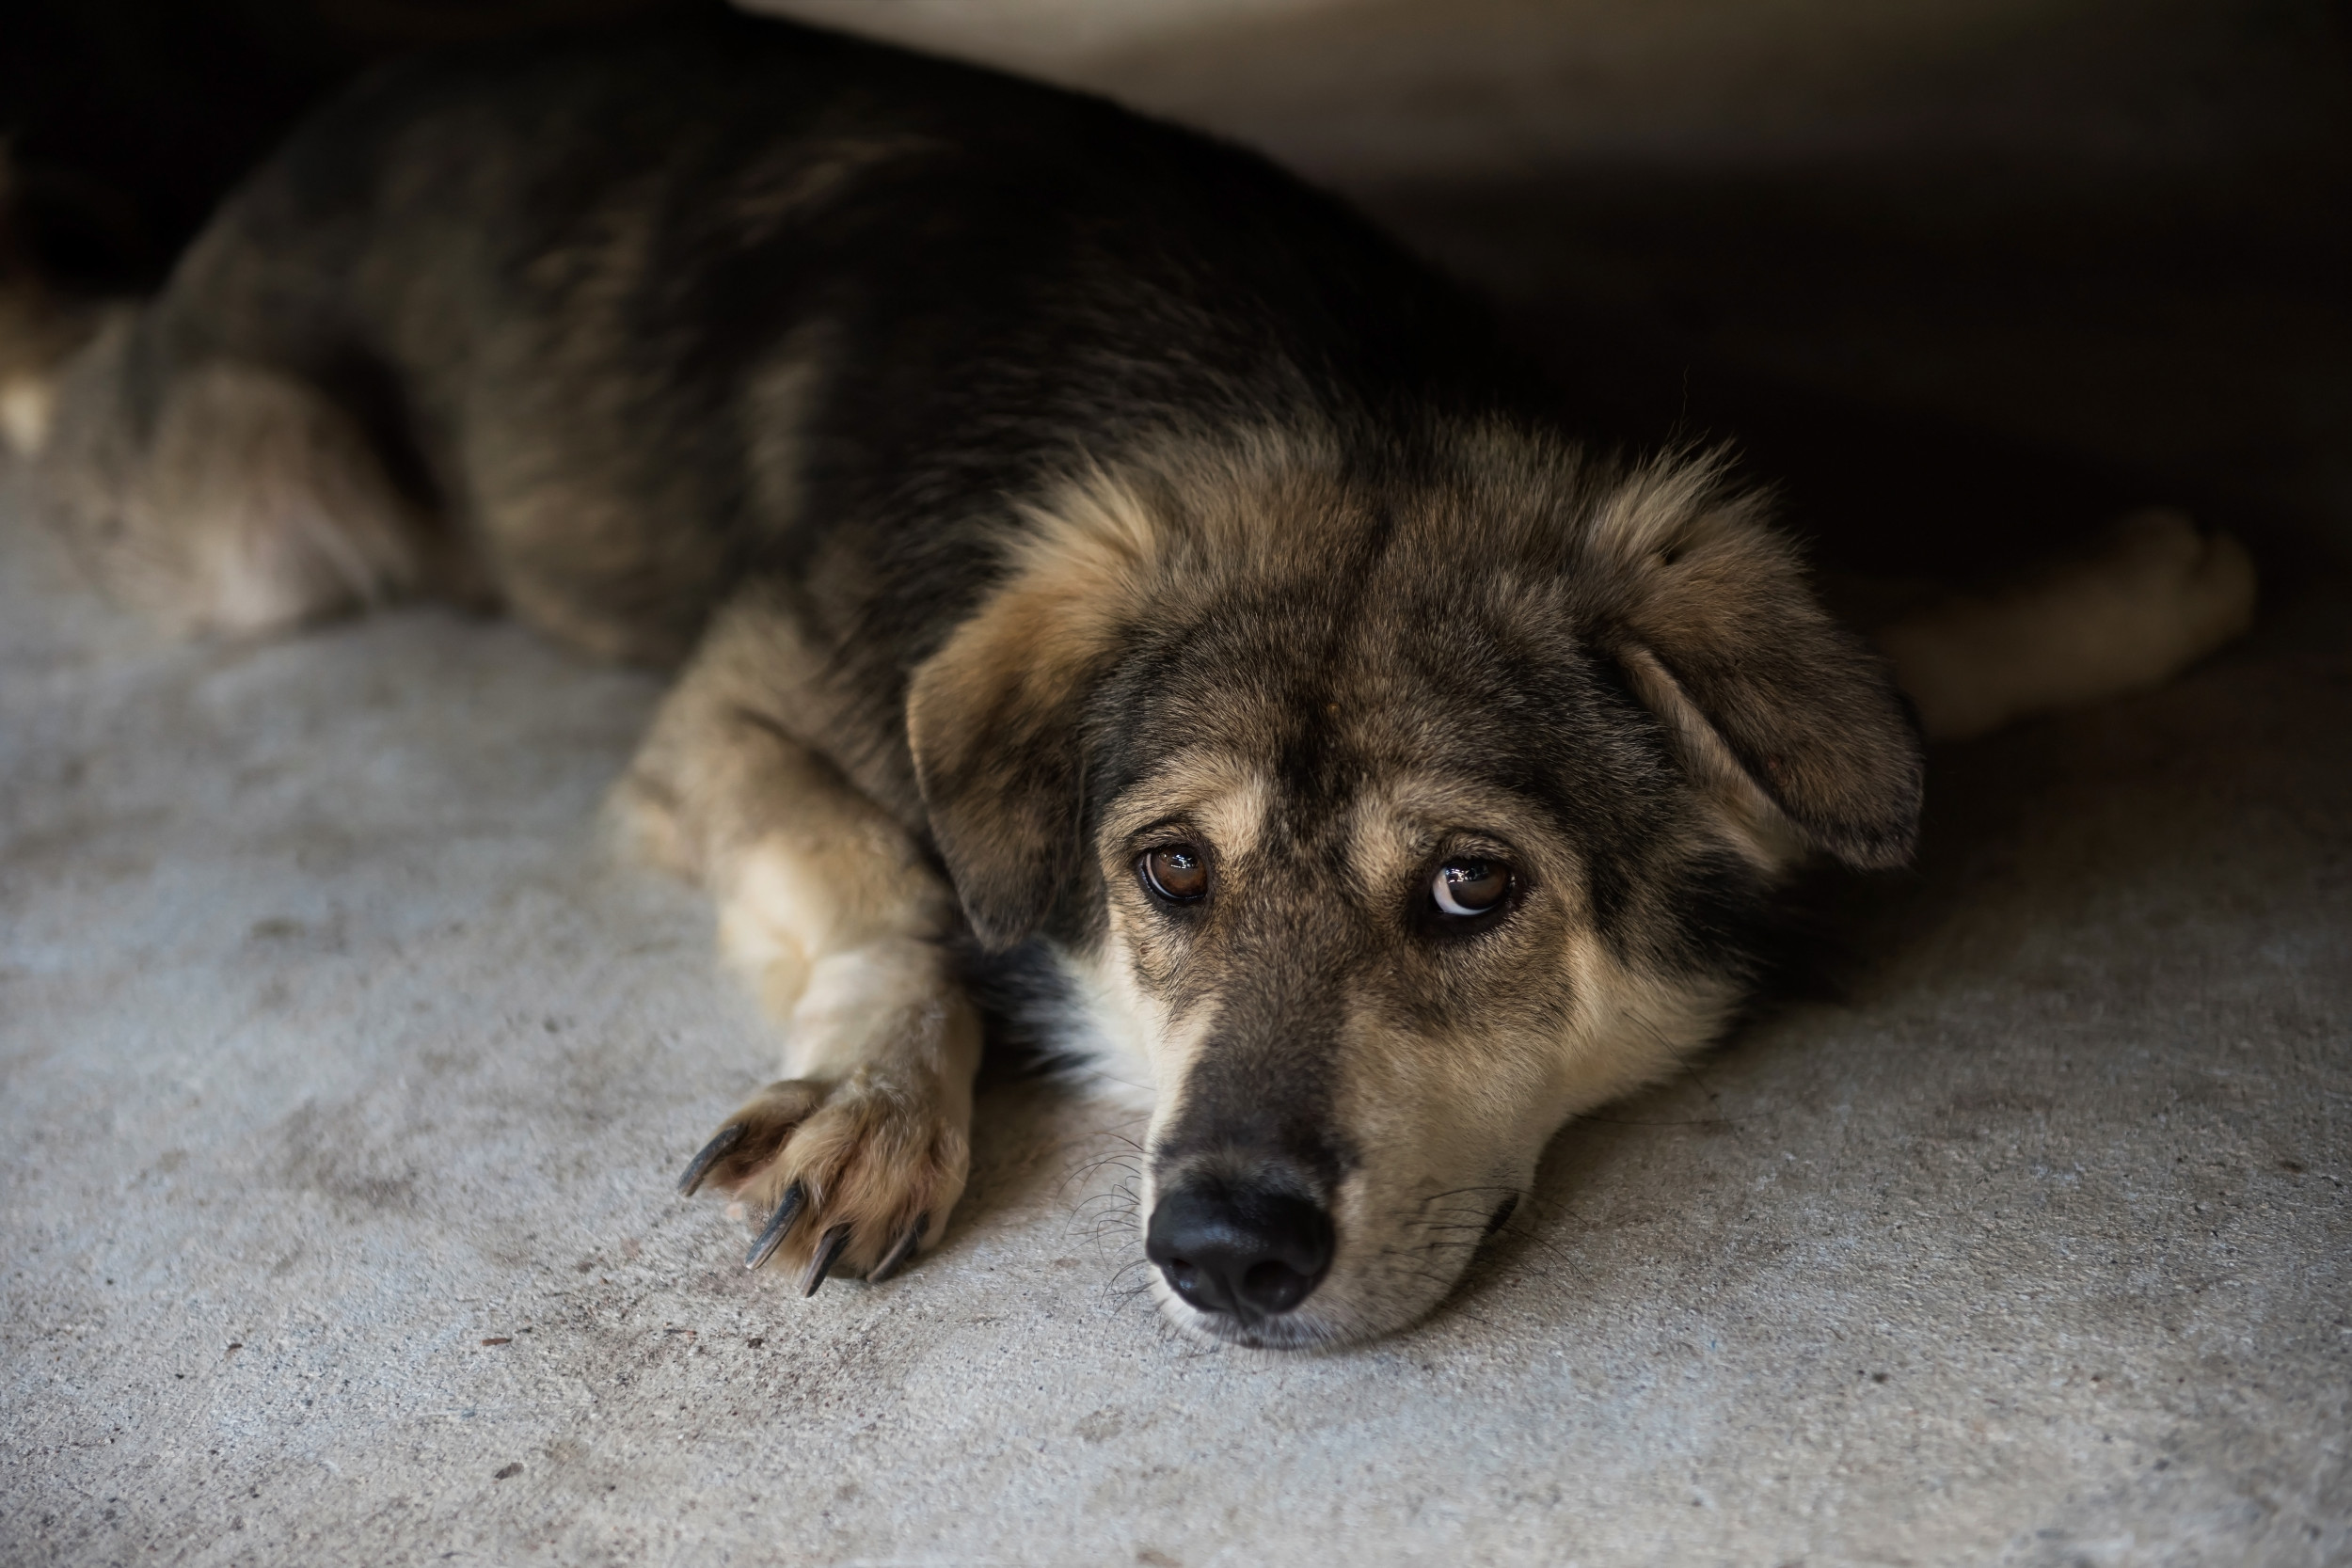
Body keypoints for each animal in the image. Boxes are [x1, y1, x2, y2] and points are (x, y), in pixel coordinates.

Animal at [4, 0, 2258, 1354]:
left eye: (1472, 886)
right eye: (1165, 872)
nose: (1223, 1255)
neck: (1310, 387)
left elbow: (1880, 669)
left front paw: (2127, 585)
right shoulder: (731, 708)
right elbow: (903, 885)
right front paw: (876, 1091)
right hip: (267, 515)